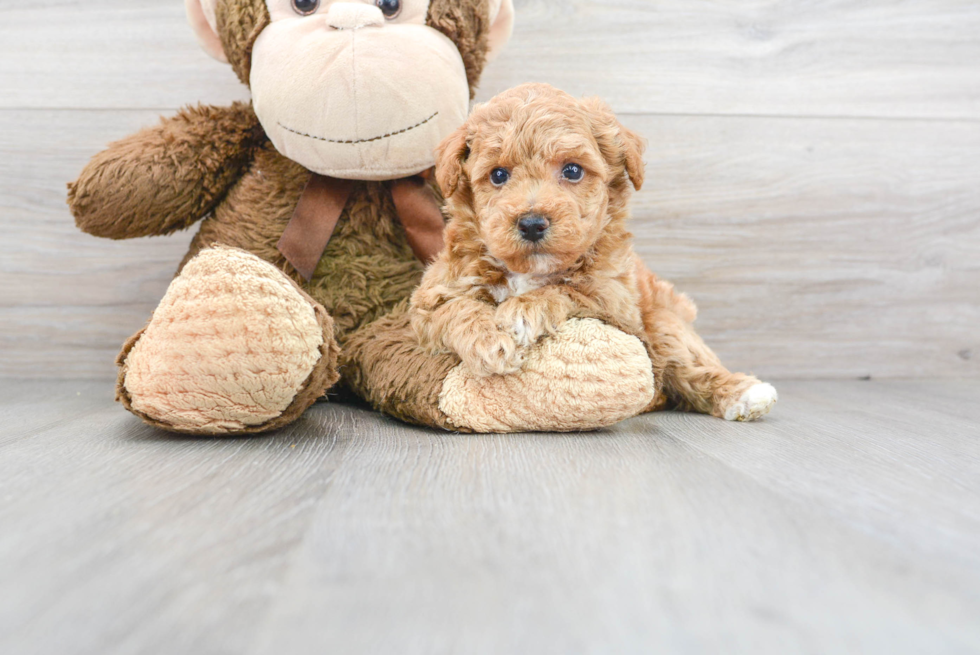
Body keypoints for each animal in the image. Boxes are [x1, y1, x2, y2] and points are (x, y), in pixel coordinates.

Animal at [410, 83, 776, 420]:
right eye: (498, 175)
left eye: (572, 170)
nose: (531, 223)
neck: (528, 271)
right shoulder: (429, 300)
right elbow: (456, 309)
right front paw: (489, 341)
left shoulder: (616, 301)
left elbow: (568, 288)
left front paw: (523, 311)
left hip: (664, 322)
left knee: (689, 369)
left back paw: (744, 393)